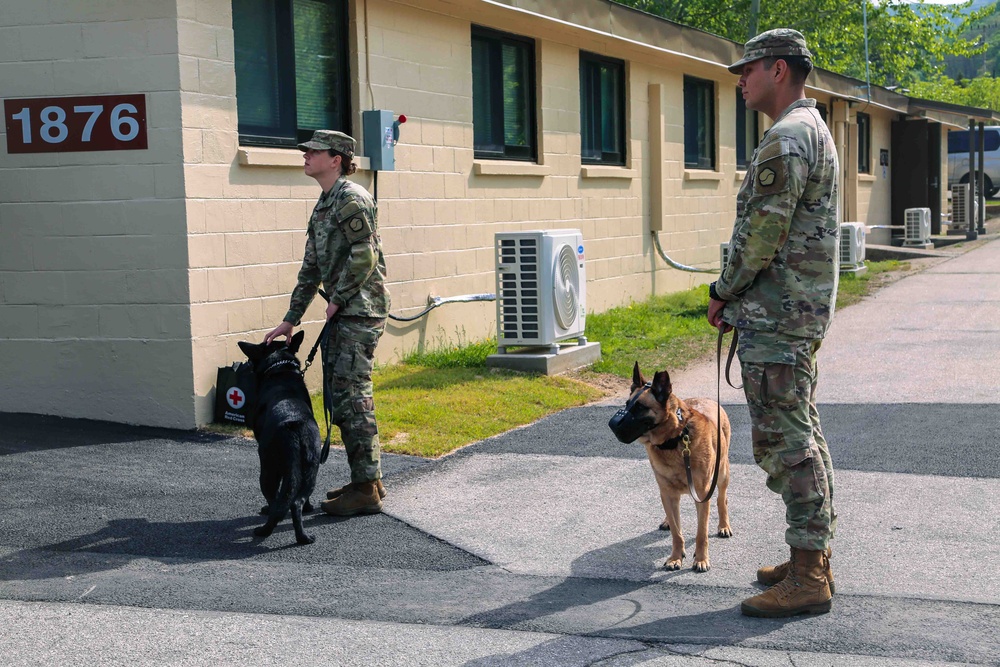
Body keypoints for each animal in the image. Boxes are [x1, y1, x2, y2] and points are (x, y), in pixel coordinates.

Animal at [236, 332, 318, 544]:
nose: (246, 363)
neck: (280, 370)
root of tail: (295, 428)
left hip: (268, 470)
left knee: (275, 502)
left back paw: (264, 530)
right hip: (310, 469)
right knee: (297, 502)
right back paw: (303, 537)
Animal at [612, 362, 732, 572]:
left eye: (640, 407)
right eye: (627, 404)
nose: (611, 424)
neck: (674, 439)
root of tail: (707, 399)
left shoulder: (702, 494)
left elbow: (701, 533)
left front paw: (701, 559)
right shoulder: (667, 493)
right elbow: (677, 532)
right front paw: (676, 557)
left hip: (722, 473)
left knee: (721, 499)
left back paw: (723, 525)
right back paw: (668, 521)